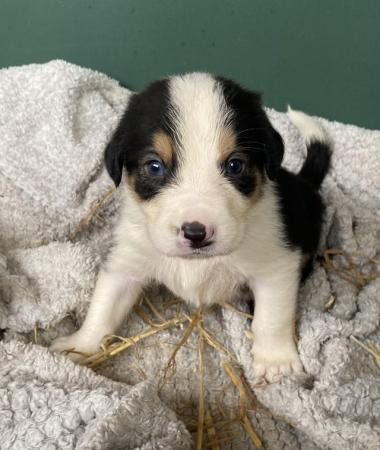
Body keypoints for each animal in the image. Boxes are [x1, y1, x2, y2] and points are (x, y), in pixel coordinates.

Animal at [50, 72, 330, 382]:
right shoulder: (126, 261)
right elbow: (103, 308)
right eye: (155, 166)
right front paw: (78, 346)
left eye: (235, 165)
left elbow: (272, 317)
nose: (196, 233)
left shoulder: (276, 264)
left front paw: (275, 361)